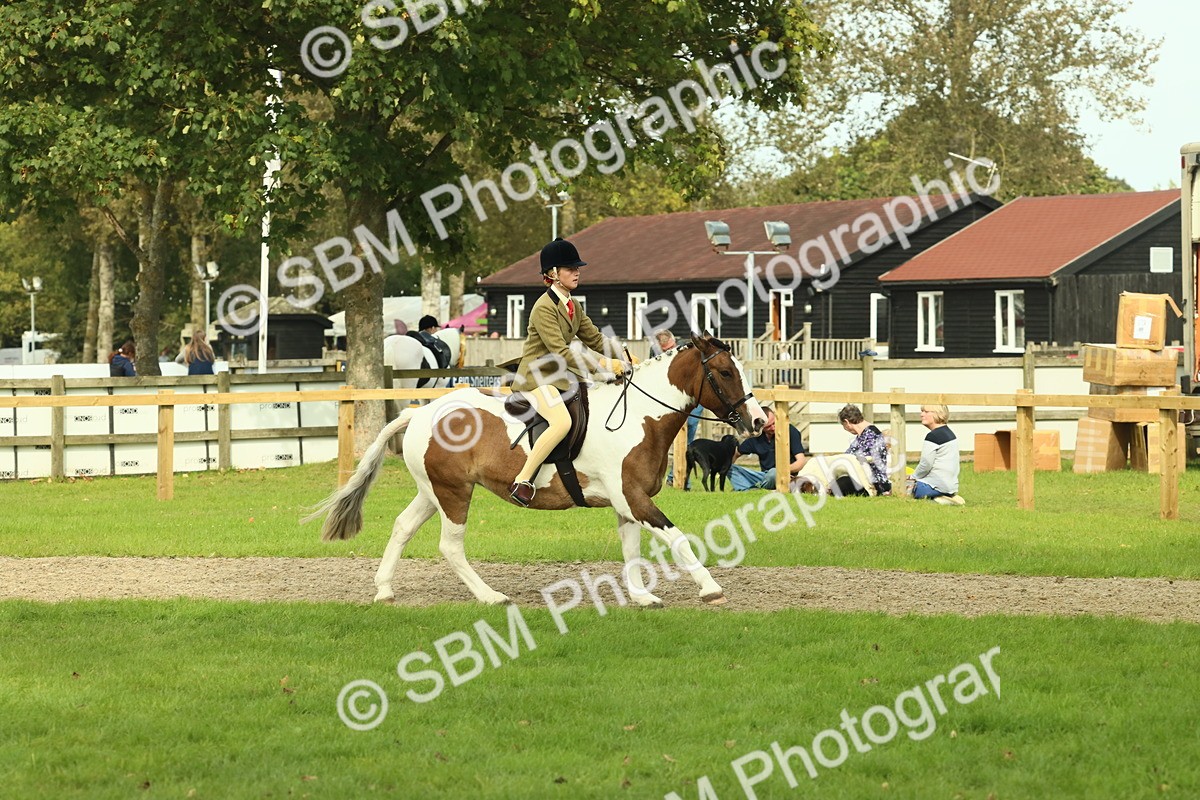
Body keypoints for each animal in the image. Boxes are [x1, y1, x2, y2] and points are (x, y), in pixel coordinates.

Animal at [308, 333, 768, 607]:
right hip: (454, 493)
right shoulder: (634, 498)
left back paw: (384, 590)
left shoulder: (627, 502)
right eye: (725, 372)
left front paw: (640, 597)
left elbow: (632, 550)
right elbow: (678, 539)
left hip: (432, 490)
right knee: (450, 546)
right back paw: (491, 596)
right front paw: (710, 588)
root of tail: (420, 413)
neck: (640, 415)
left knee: (402, 526)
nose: (760, 421)